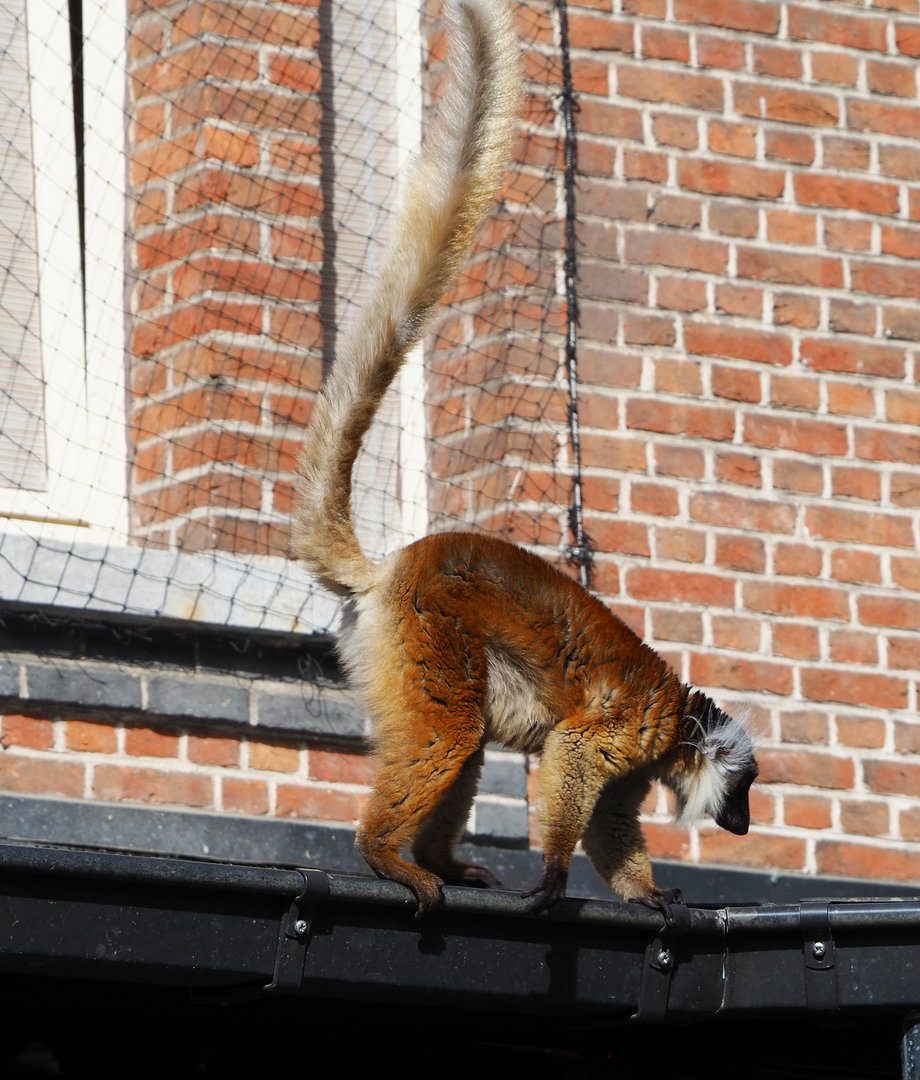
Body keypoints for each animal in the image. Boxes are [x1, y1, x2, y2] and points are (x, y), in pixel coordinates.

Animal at [294, 0, 758, 920]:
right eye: (746, 789)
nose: (748, 823)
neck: (678, 722)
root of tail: (390, 571)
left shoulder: (636, 768)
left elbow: (612, 821)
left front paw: (650, 895)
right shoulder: (627, 732)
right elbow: (574, 753)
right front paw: (551, 877)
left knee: (462, 733)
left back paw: (436, 856)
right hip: (427, 629)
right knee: (450, 724)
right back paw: (384, 855)